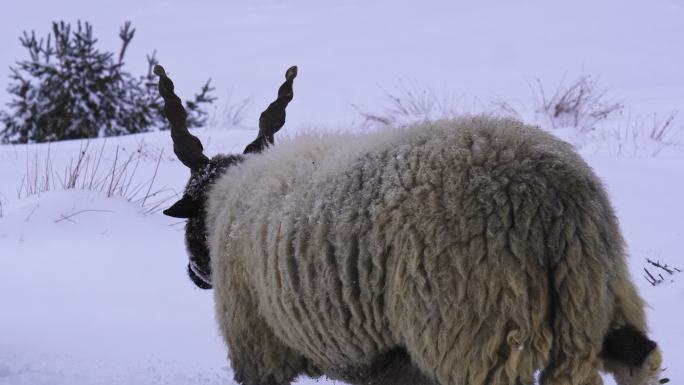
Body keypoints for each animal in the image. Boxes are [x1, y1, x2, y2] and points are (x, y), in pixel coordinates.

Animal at [154, 64, 664, 384]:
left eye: (188, 208)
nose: (196, 272)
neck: (226, 202)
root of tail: (553, 198)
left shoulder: (258, 347)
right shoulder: (392, 360)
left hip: (476, 332)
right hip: (597, 298)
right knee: (637, 360)